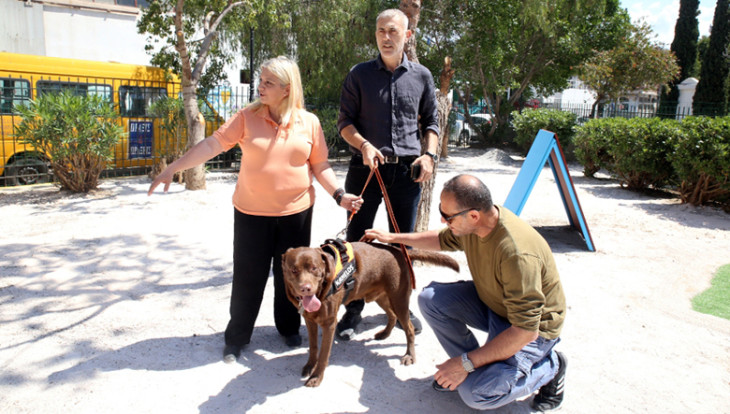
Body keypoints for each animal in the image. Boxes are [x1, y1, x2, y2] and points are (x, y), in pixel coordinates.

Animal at [282, 241, 458, 386]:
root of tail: (398, 251)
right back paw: (384, 334)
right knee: (392, 315)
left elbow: (324, 354)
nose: (305, 288)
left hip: (399, 298)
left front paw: (316, 377)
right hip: (382, 297)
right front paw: (309, 367)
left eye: (314, 268)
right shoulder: (309, 320)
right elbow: (313, 347)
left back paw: (409, 355)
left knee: (408, 328)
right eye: (294, 270)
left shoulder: (329, 323)